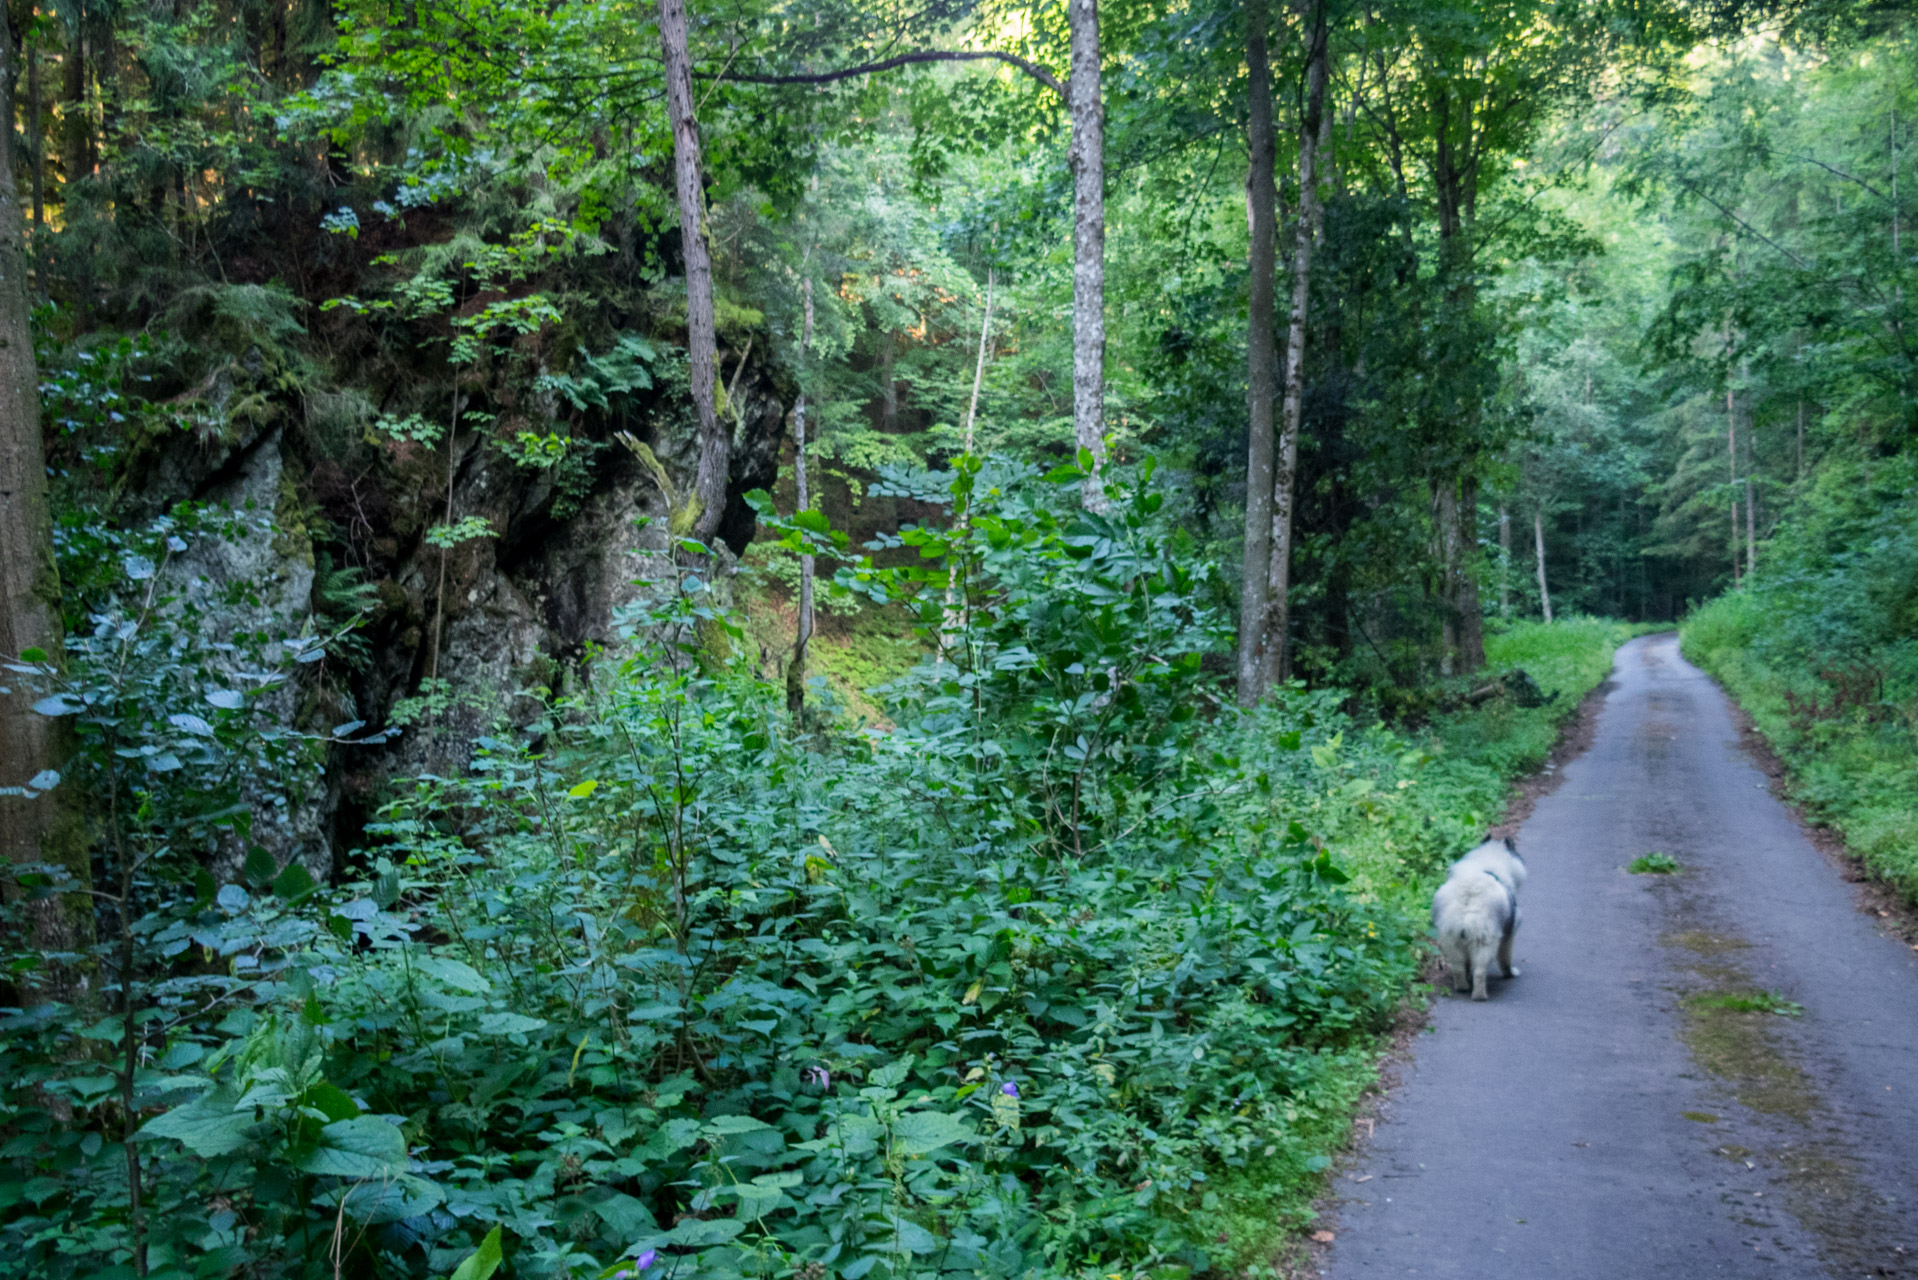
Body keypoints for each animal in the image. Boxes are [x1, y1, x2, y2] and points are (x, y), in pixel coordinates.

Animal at [1442, 836, 1526, 1005]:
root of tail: (1468, 901)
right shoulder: (1509, 935)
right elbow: (1506, 959)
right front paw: (1510, 973)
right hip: (1485, 942)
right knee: (1480, 972)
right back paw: (1479, 995)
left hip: (1452, 940)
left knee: (1458, 968)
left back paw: (1462, 987)